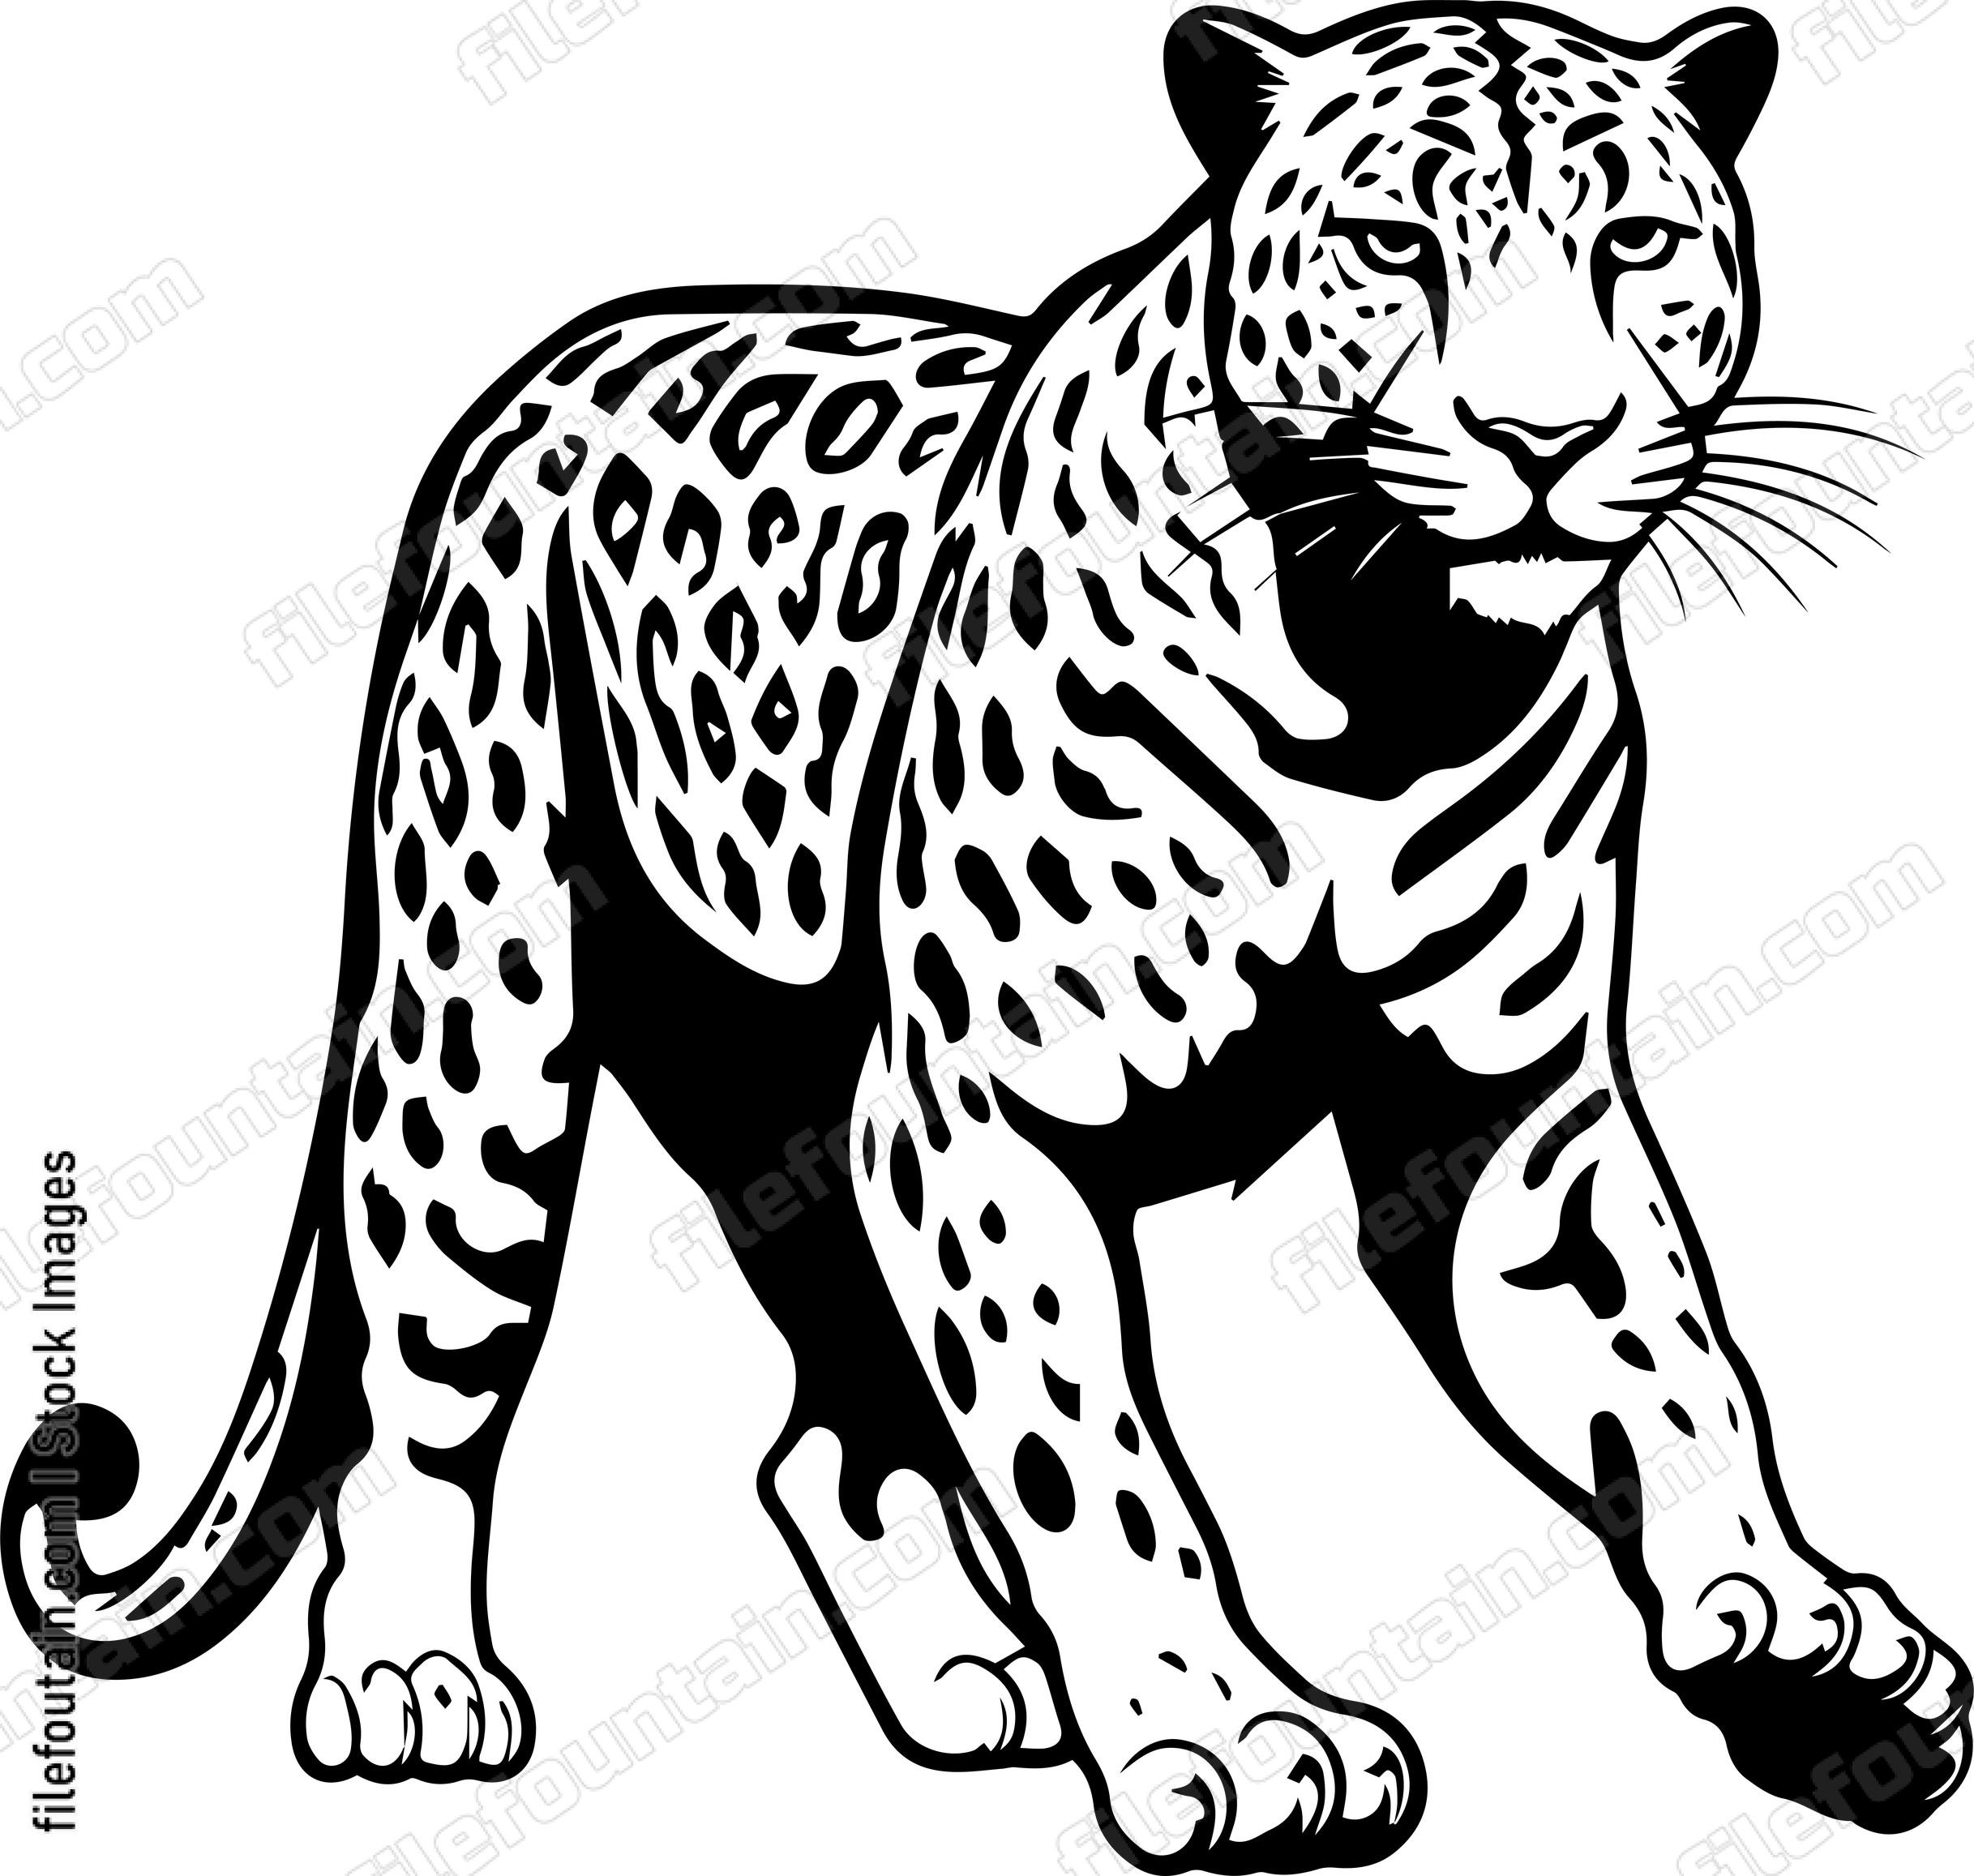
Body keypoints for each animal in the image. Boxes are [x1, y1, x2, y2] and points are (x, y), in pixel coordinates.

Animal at [9, 6, 1968, 1868]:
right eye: (1392, 245)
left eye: (1635, 239)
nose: (1542, 440)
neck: (1387, 676)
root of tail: (539, 379)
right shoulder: (985, 1113)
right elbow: (1087, 1452)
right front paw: (1231, 1738)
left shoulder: (1500, 1107)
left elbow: (1667, 1360)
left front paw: (1802, 1637)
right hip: (478, 1025)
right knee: (421, 1387)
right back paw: (413, 1677)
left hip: (790, 1099)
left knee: (827, 1434)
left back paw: (970, 1676)